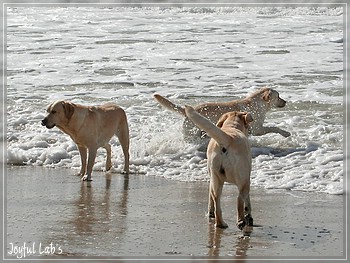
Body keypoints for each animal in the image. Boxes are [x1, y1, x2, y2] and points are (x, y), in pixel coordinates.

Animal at [154, 87, 292, 141]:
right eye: (278, 96)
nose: (285, 101)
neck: (257, 104)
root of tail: (186, 111)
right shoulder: (258, 129)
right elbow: (274, 127)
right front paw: (285, 133)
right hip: (191, 134)